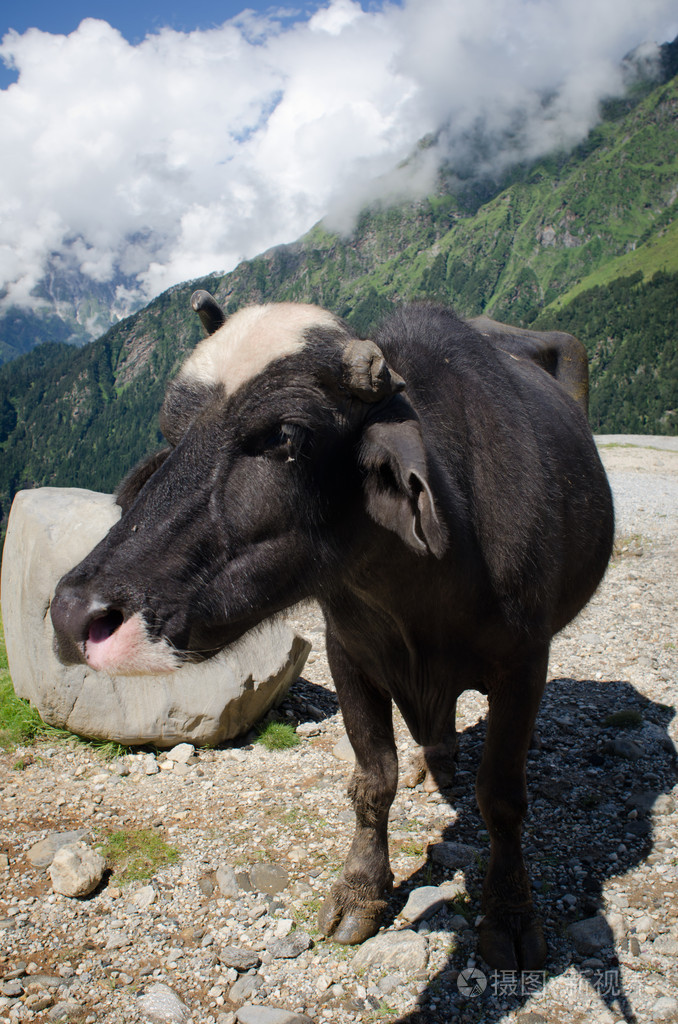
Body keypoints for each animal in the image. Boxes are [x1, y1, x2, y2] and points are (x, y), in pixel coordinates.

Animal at [51, 292, 614, 970]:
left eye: (286, 436)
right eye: (171, 432)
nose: (75, 614)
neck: (421, 585)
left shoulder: (525, 664)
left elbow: (502, 797)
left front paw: (508, 911)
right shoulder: (349, 654)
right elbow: (373, 781)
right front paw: (360, 890)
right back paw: (435, 759)